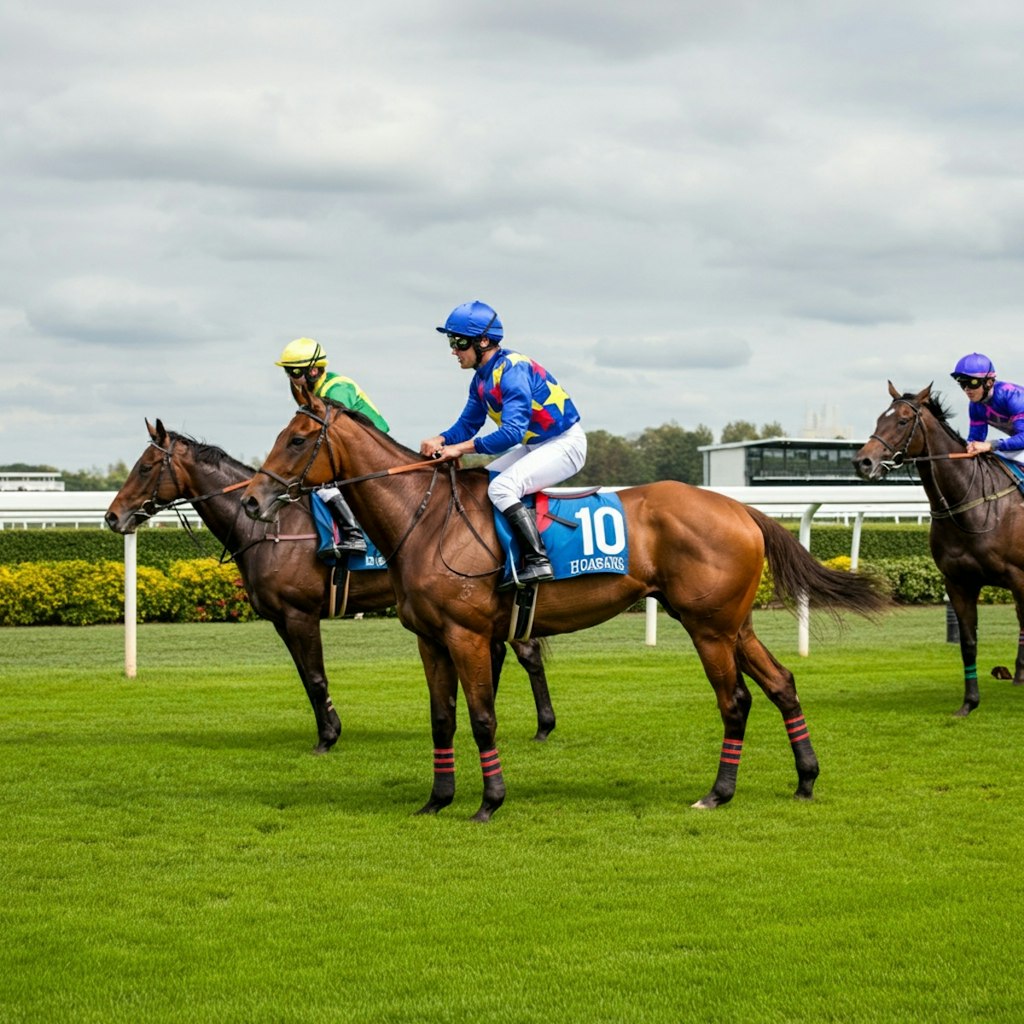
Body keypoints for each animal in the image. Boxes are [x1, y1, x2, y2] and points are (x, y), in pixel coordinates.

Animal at [103, 417, 557, 753]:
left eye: (145, 467)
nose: (111, 517)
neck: (272, 528)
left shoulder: (300, 613)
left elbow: (317, 676)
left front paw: (329, 736)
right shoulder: (280, 620)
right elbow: (307, 677)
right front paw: (328, 727)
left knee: (527, 652)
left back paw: (543, 725)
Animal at [235, 387, 884, 819]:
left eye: (297, 439)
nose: (252, 501)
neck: (427, 518)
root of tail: (742, 509)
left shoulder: (467, 634)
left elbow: (482, 716)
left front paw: (489, 802)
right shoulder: (429, 639)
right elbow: (442, 719)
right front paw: (437, 800)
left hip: (709, 628)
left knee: (737, 700)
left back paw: (718, 793)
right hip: (732, 623)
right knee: (781, 684)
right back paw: (805, 779)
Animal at [851, 380, 1024, 716]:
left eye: (903, 421)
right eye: (879, 418)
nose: (862, 462)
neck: (971, 506)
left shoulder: (1018, 577)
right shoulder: (958, 582)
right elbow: (968, 643)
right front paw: (969, 703)